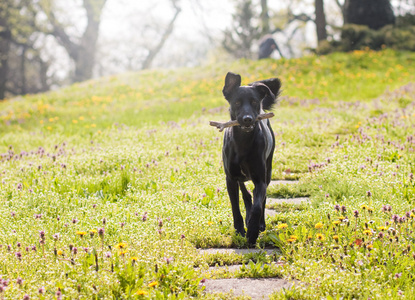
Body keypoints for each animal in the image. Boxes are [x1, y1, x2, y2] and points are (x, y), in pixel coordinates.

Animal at [221, 72, 282, 244]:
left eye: (254, 102)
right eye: (237, 102)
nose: (247, 119)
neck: (243, 141)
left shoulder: (260, 179)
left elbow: (258, 206)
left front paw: (253, 232)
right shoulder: (230, 179)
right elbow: (236, 207)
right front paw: (240, 230)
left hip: (268, 171)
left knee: (260, 199)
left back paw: (260, 224)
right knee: (246, 194)